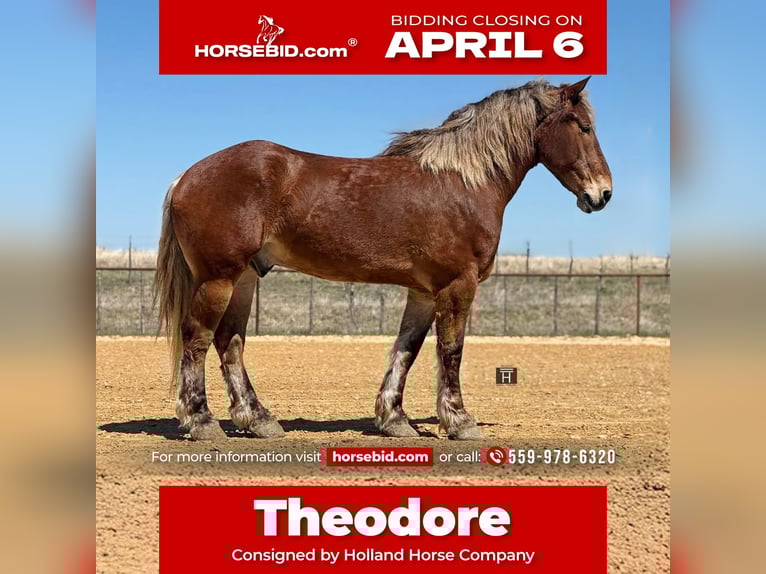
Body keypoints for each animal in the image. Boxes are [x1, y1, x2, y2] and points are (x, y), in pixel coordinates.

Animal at [154, 77, 612, 441]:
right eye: (585, 127)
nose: (603, 194)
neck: (463, 182)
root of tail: (186, 176)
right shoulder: (457, 286)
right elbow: (451, 351)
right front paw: (460, 421)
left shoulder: (424, 293)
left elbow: (406, 350)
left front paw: (395, 420)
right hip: (218, 278)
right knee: (197, 338)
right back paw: (202, 421)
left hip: (245, 279)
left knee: (229, 342)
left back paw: (259, 419)